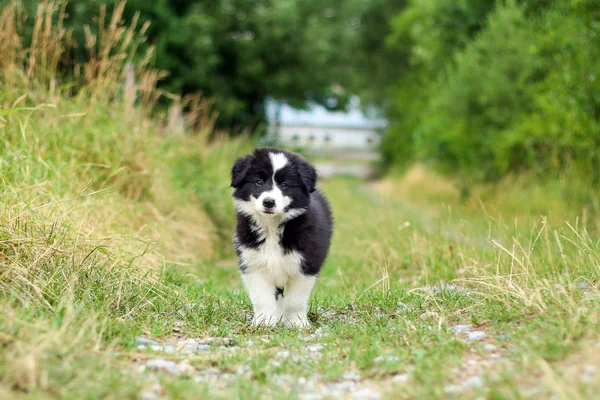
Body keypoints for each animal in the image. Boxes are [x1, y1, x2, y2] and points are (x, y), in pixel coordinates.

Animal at [231, 148, 332, 328]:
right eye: (258, 182)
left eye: (284, 185)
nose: (268, 202)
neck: (272, 227)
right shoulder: (253, 263)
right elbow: (262, 297)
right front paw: (264, 322)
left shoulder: (306, 265)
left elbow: (296, 300)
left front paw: (296, 324)